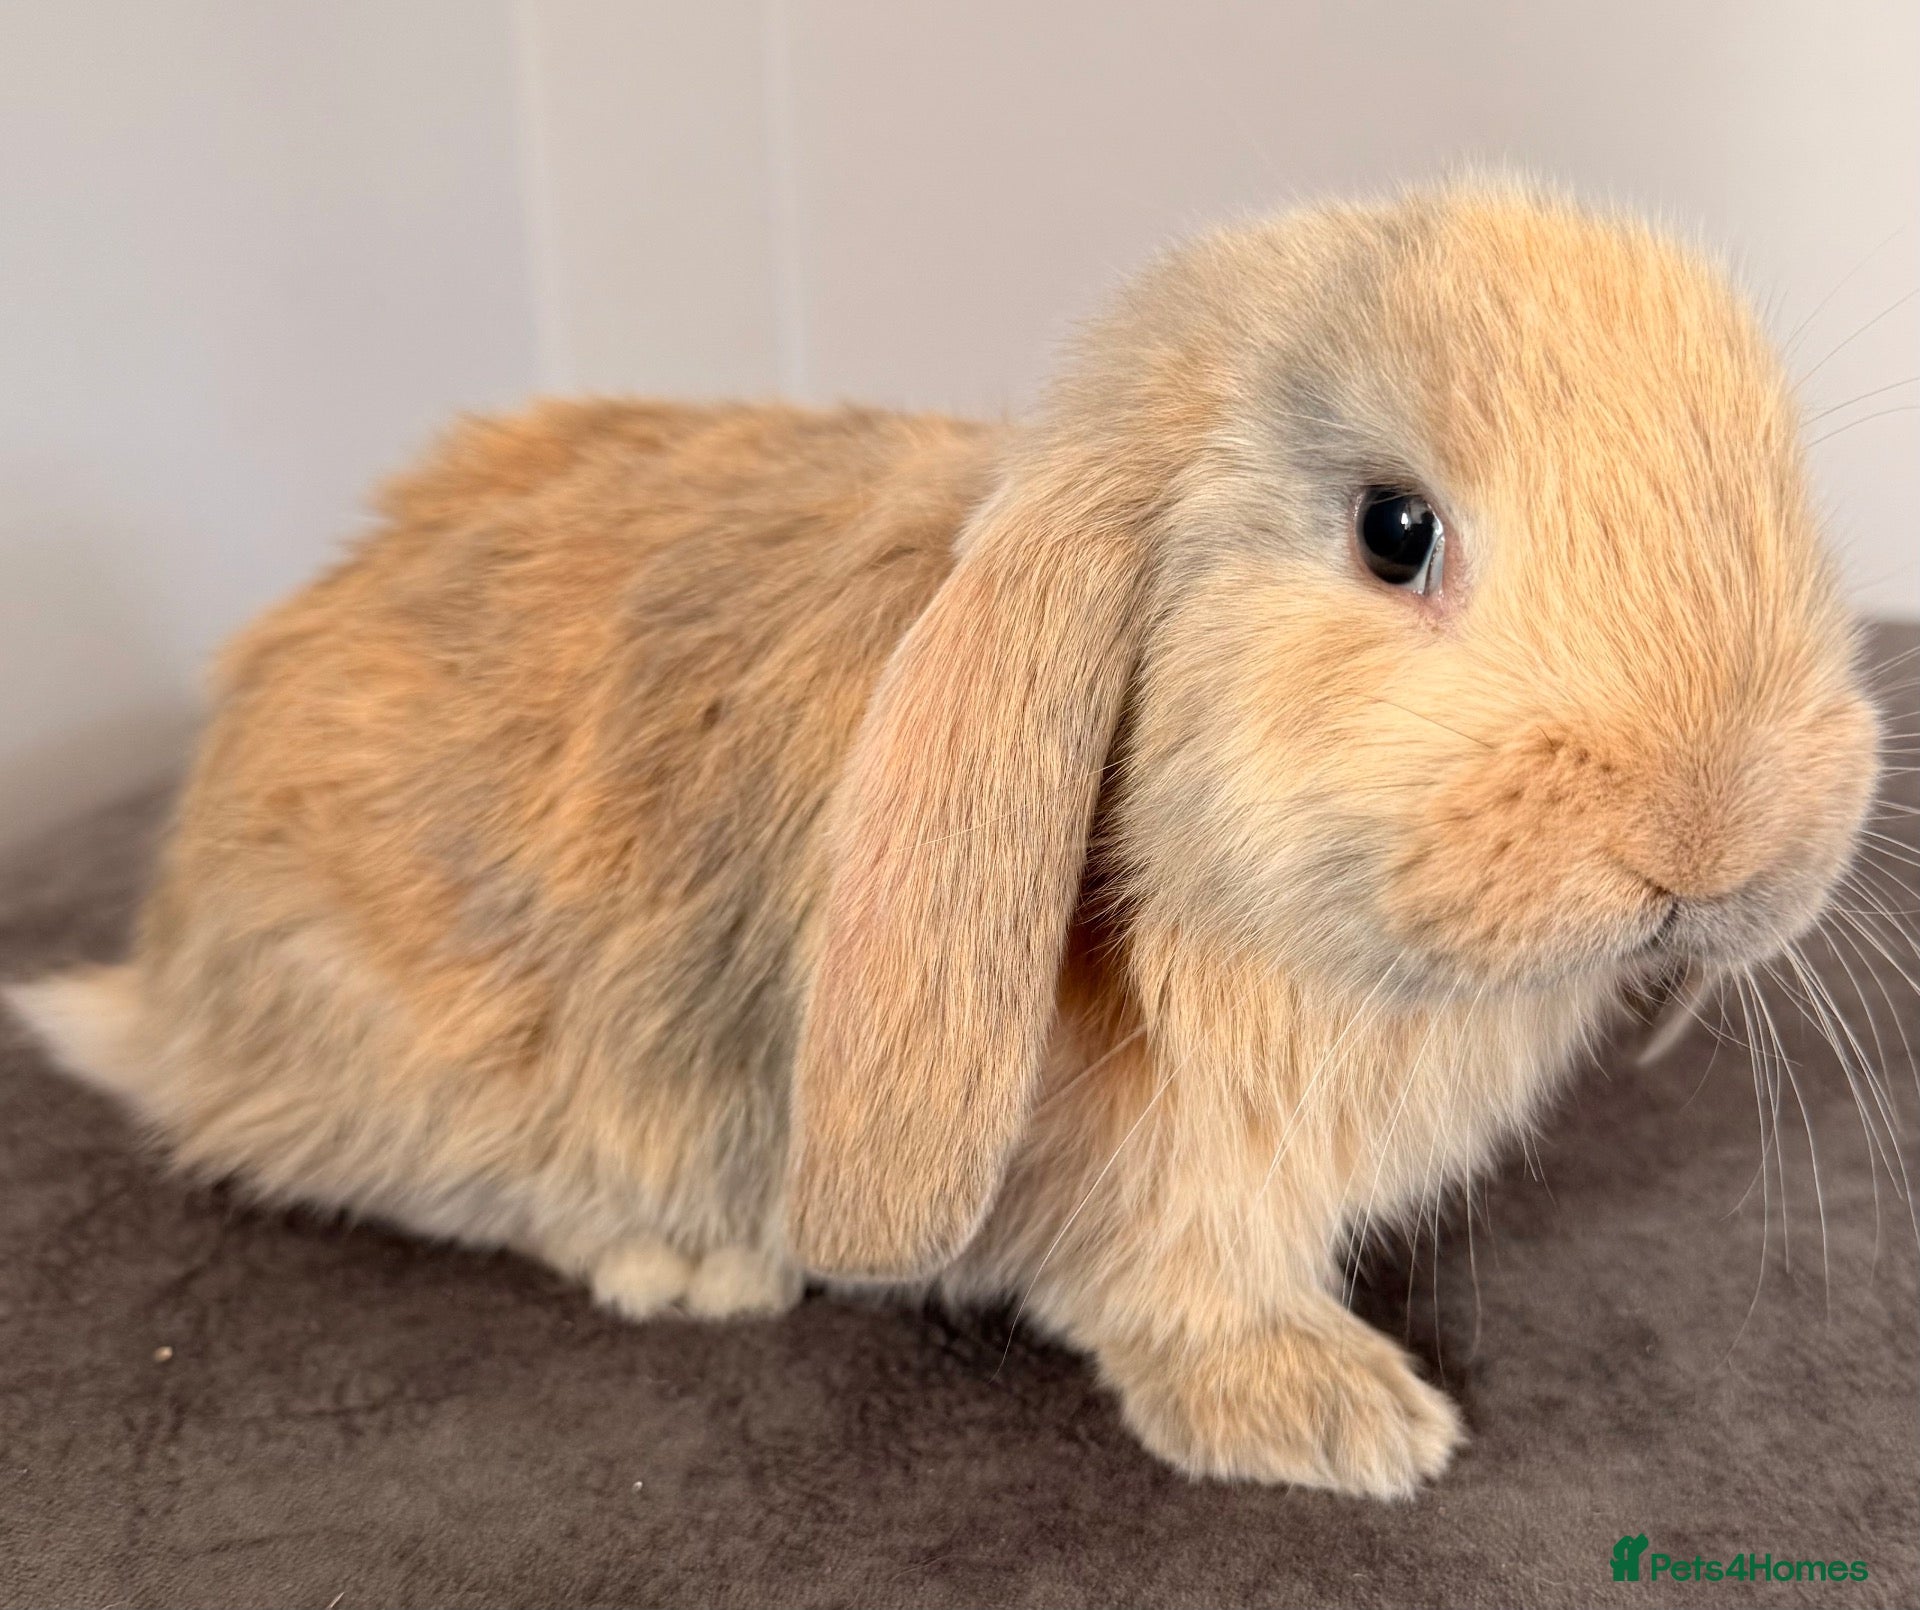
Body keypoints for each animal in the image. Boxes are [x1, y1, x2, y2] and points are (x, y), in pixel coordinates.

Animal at [8, 179, 1881, 1497]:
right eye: (1394, 531)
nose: (1717, 841)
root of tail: (173, 983)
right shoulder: (1167, 1188)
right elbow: (1181, 1289)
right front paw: (1341, 1420)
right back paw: (689, 1266)